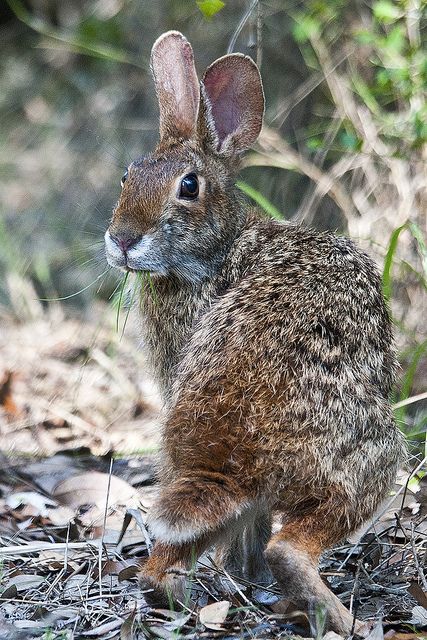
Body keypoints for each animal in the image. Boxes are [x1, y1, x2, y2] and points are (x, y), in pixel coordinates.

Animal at [105, 31, 406, 636]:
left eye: (188, 186)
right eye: (128, 177)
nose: (122, 239)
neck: (216, 253)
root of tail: (231, 451)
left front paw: (239, 579)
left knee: (162, 566)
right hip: (372, 459)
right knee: (290, 545)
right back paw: (338, 615)